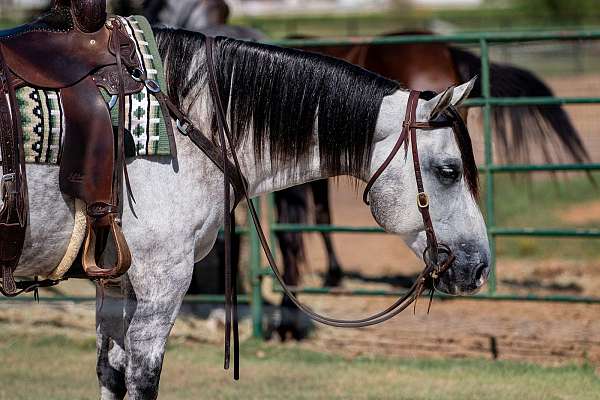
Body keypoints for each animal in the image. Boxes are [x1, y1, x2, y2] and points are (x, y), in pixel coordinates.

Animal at [17, 31, 488, 400]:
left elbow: (110, 372)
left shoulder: (115, 283)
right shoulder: (162, 280)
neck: (182, 125)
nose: (480, 266)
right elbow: (142, 378)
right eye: (449, 171)